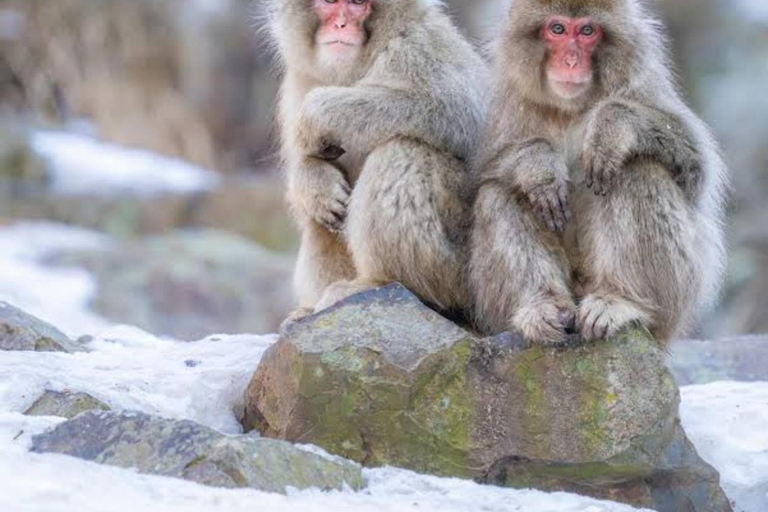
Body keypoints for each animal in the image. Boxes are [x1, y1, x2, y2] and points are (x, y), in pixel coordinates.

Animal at [260, 0, 488, 319]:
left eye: (357, 4)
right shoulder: (300, 80)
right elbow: (306, 165)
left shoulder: (418, 48)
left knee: (402, 151)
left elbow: (462, 115)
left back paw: (380, 283)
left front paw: (321, 112)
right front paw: (312, 181)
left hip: (465, 268)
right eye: (329, 3)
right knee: (317, 222)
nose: (341, 24)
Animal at [469, 0, 727, 345]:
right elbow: (483, 174)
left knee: (636, 169)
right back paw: (543, 306)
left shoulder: (643, 84)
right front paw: (537, 166)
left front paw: (612, 127)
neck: (570, 108)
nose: (571, 60)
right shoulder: (511, 103)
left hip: (677, 298)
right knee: (500, 193)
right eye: (557, 29)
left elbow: (696, 166)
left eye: (588, 31)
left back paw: (621, 300)